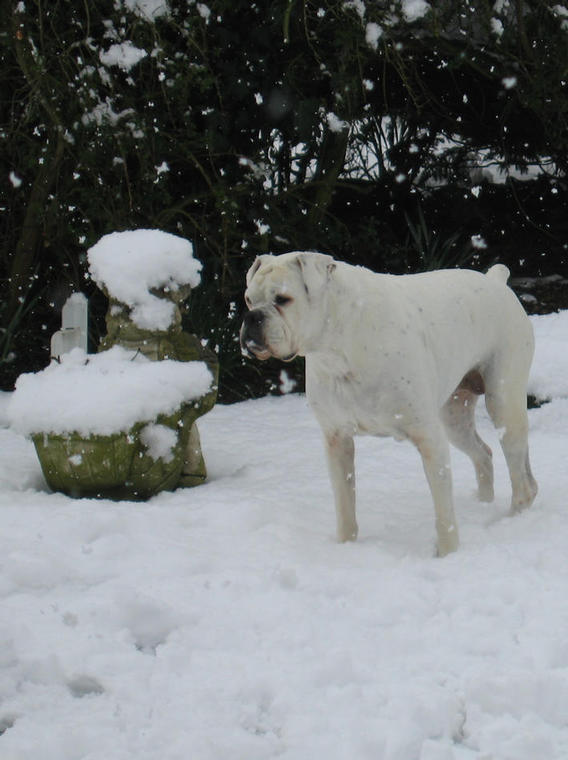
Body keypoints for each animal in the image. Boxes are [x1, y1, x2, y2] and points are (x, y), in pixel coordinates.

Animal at [240, 252, 536, 556]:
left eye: (283, 299)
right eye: (249, 299)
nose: (251, 317)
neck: (339, 345)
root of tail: (495, 280)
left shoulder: (429, 438)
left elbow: (444, 512)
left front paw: (447, 554)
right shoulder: (337, 440)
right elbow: (345, 504)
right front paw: (345, 547)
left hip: (503, 404)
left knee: (519, 478)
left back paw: (510, 520)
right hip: (455, 419)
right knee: (485, 455)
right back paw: (484, 505)